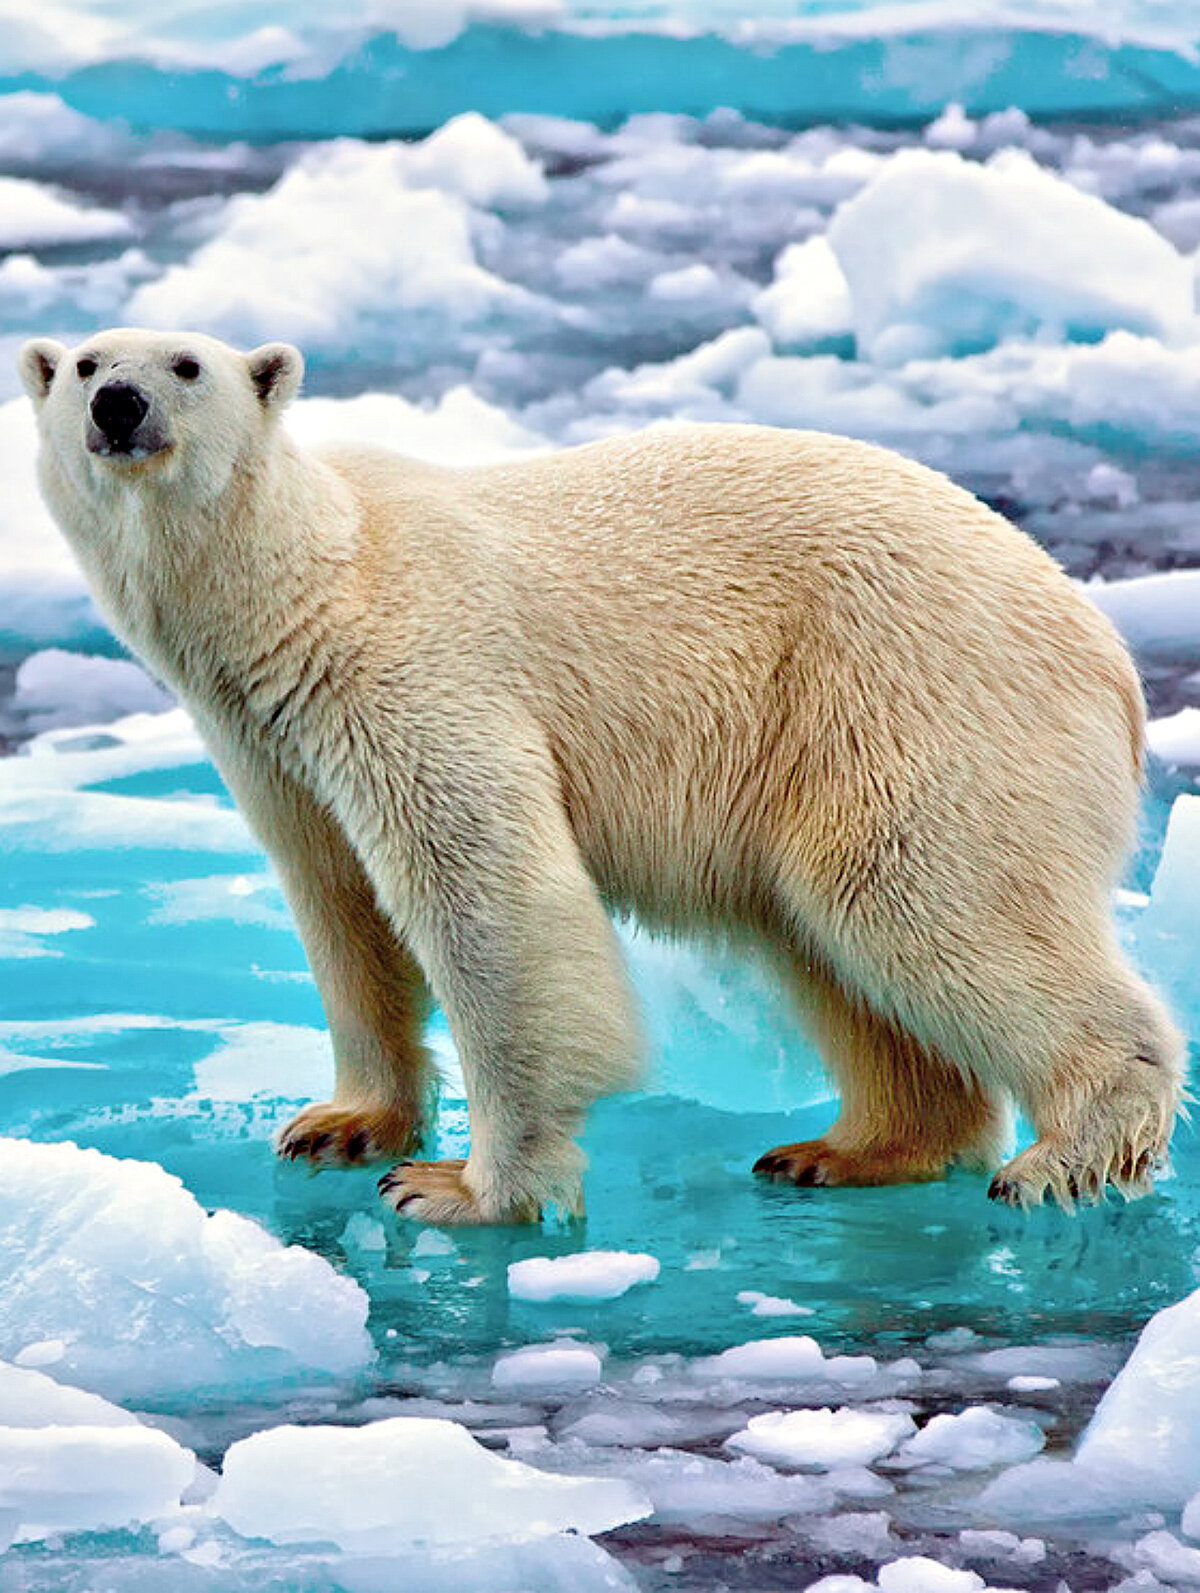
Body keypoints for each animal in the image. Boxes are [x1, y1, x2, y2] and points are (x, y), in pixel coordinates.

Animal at [19, 326, 1186, 1225]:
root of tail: (1106, 653)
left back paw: (1062, 1156)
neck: (308, 580)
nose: (119, 404)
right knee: (832, 943)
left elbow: (490, 897)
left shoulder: (411, 669)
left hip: (911, 694)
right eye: (83, 362)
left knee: (918, 894)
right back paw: (845, 1149)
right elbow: (339, 906)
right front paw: (338, 1123)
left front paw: (463, 1188)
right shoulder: (272, 742)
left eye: (186, 364)